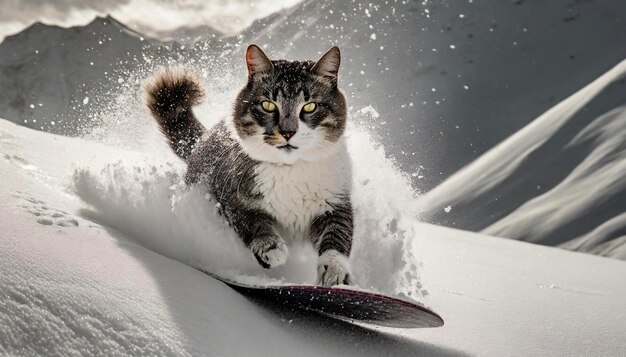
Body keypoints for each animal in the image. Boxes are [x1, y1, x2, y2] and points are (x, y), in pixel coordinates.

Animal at [143, 44, 354, 286]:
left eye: (310, 107)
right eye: (268, 105)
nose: (287, 132)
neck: (289, 170)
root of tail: (202, 141)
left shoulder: (336, 201)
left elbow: (337, 234)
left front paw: (335, 272)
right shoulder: (230, 196)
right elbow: (251, 221)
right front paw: (270, 248)